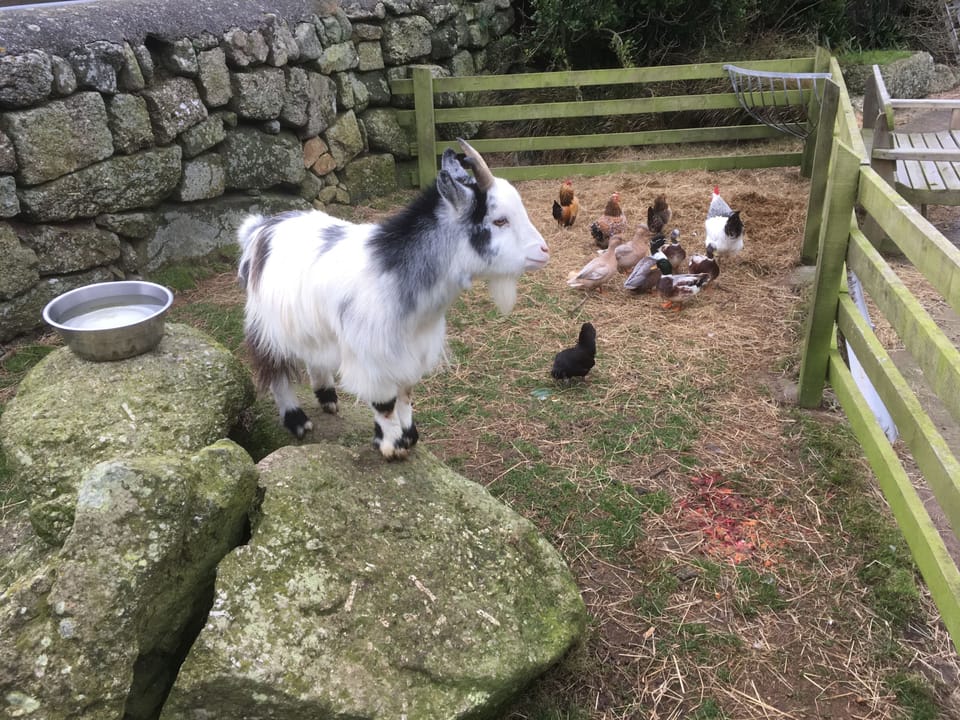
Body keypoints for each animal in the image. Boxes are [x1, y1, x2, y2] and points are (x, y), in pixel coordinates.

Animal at [236, 138, 549, 460]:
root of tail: (260, 228)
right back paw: (296, 420)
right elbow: (384, 402)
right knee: (274, 368)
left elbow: (406, 392)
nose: (543, 250)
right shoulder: (372, 355)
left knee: (315, 357)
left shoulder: (410, 351)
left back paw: (327, 398)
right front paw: (392, 445)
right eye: (499, 220)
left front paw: (409, 435)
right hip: (266, 323)